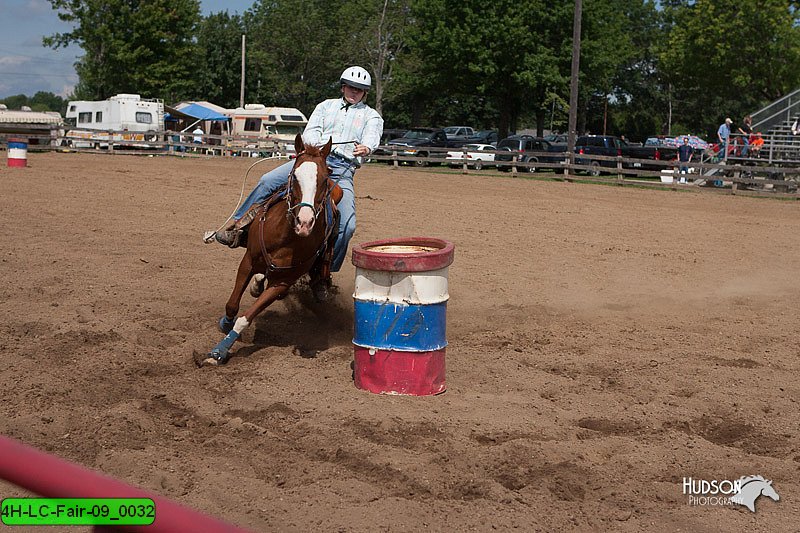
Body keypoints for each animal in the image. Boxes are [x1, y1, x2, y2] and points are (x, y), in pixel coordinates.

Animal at [199, 133, 340, 366]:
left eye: (323, 179)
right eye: (294, 175)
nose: (304, 222)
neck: (288, 237)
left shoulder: (281, 283)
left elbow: (246, 318)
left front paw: (218, 352)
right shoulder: (247, 261)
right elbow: (232, 305)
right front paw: (225, 324)